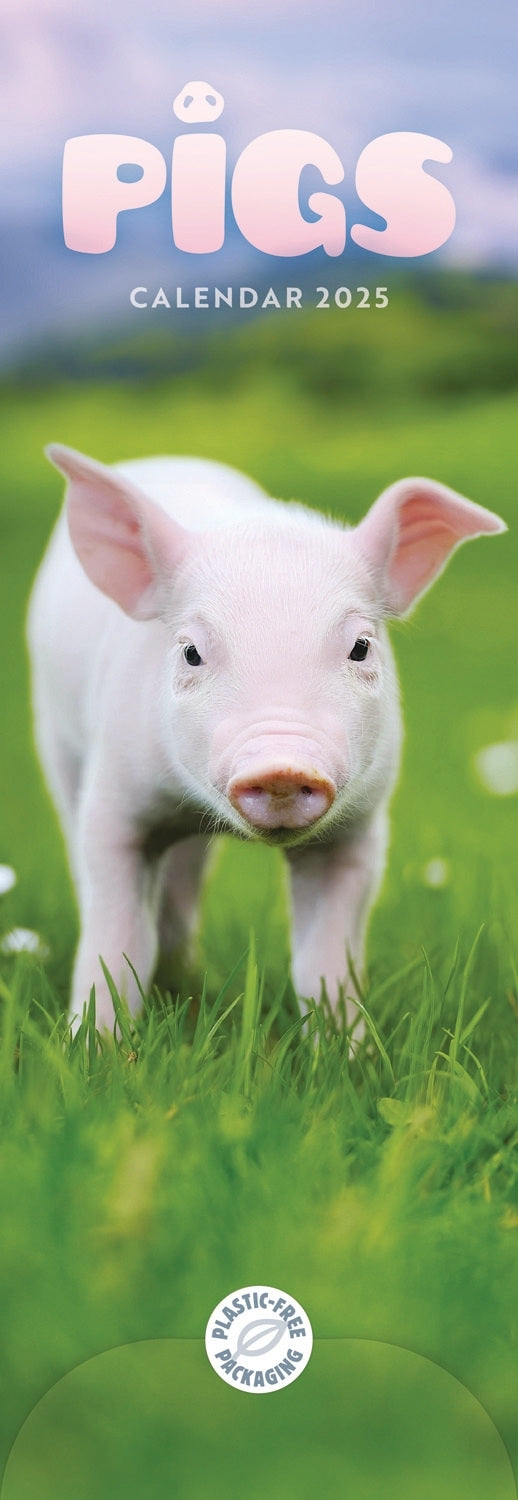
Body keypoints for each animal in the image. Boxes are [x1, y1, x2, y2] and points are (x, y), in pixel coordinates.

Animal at [27, 445, 506, 1032]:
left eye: (361, 647)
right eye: (191, 652)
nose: (282, 766)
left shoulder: (359, 830)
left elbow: (324, 963)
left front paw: (346, 1049)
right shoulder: (116, 796)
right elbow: (115, 942)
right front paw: (95, 1043)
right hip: (55, 737)